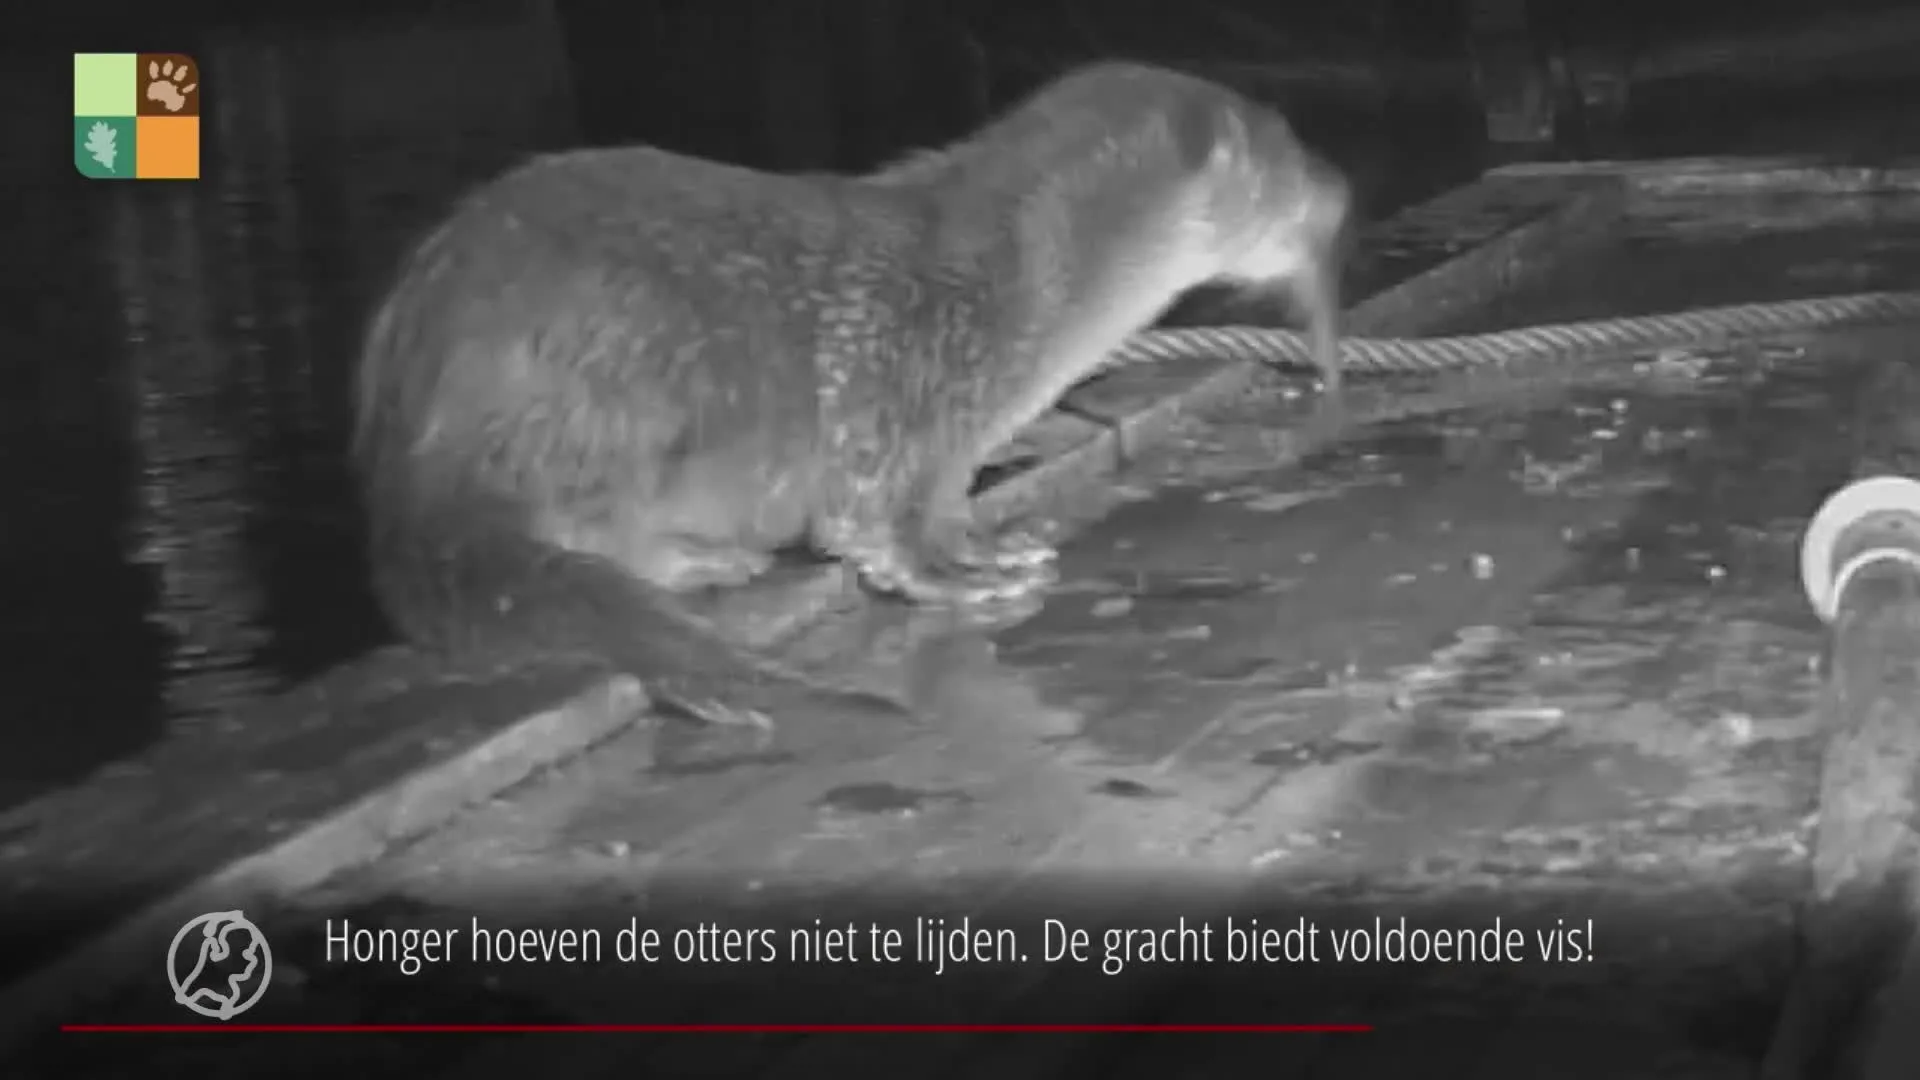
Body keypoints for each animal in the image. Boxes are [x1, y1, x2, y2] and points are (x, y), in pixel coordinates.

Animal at [351, 60, 1351, 735]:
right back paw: (702, 560)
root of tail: (412, 450)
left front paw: (987, 542)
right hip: (618, 391)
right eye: (1291, 164)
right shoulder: (901, 399)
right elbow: (881, 527)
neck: (1015, 292)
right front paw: (968, 577)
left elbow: (947, 507)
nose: (1342, 187)